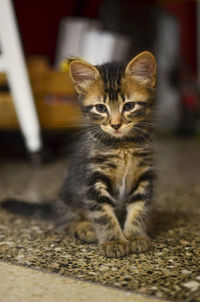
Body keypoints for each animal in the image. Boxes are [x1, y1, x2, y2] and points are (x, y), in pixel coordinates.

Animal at [2, 51, 158, 258]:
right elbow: (103, 214)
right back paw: (84, 228)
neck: (122, 145)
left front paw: (135, 236)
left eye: (129, 106)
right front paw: (114, 241)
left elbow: (139, 208)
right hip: (70, 197)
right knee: (65, 222)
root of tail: (56, 204)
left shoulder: (144, 175)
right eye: (101, 108)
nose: (116, 125)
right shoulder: (93, 180)